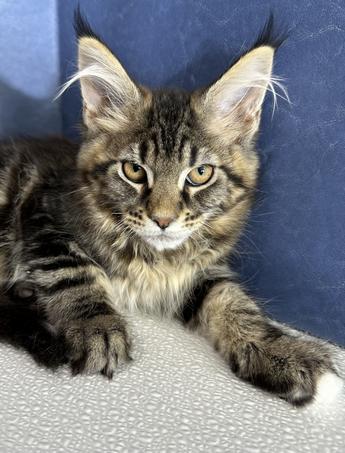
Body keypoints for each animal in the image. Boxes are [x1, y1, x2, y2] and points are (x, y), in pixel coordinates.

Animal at [0, 13, 338, 406]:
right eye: (133, 170)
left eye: (200, 174)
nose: (163, 220)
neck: (154, 260)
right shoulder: (44, 215)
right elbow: (74, 270)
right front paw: (97, 327)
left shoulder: (197, 272)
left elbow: (231, 300)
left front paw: (281, 351)